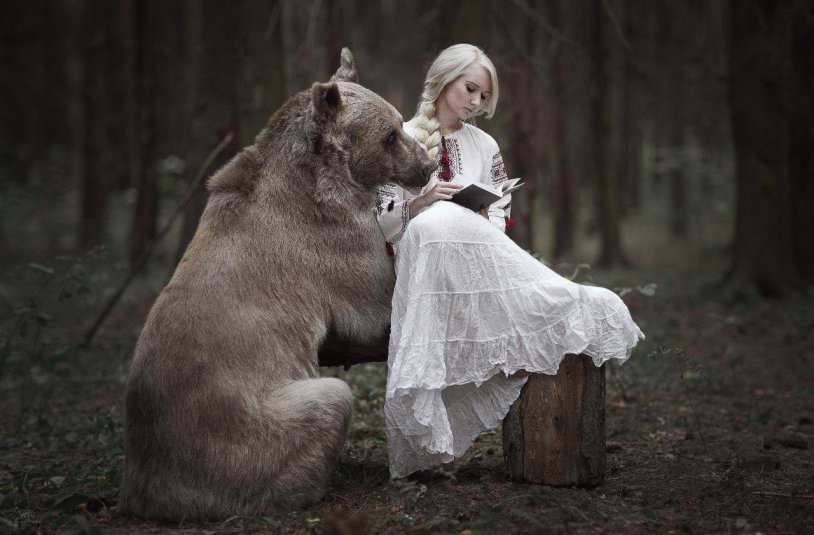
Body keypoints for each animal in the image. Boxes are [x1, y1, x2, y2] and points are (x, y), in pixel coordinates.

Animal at [119, 49, 435, 520]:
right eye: (391, 135)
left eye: (399, 123)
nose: (427, 165)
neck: (325, 174)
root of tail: (150, 494)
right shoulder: (333, 241)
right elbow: (377, 299)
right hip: (246, 433)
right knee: (328, 401)